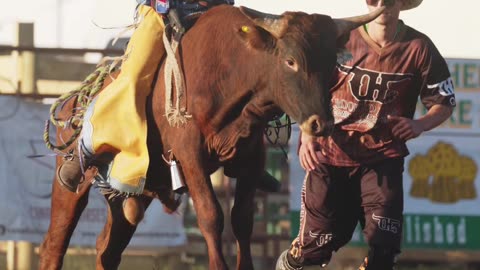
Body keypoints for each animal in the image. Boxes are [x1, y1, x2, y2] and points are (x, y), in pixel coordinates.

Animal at [38, 4, 382, 270]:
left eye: (332, 64)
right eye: (290, 61)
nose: (320, 124)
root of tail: (77, 97)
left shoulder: (251, 158)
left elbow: (242, 219)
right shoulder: (189, 154)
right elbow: (210, 215)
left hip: (133, 192)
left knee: (106, 249)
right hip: (71, 187)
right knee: (55, 242)